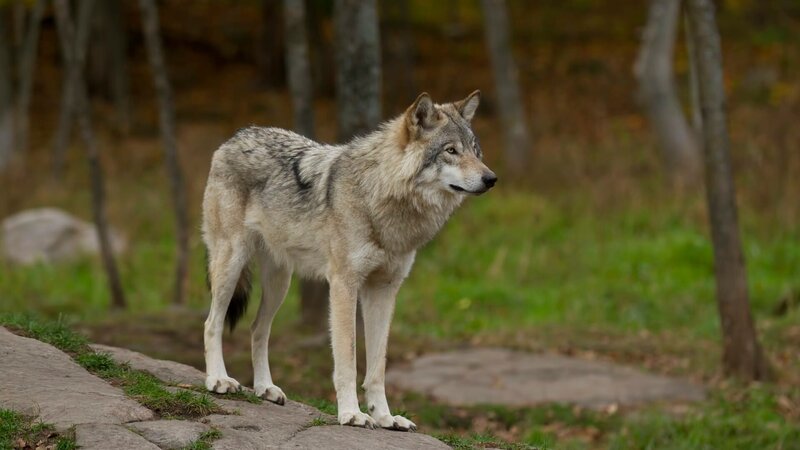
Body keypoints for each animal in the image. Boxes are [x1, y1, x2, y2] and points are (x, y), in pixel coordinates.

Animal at [202, 91, 497, 431]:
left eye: (475, 151)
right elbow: (348, 359)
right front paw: (352, 413)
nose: (491, 178)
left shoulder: (384, 290)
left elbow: (378, 366)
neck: (380, 198)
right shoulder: (344, 285)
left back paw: (265, 388)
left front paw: (385, 417)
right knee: (212, 322)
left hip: (279, 284)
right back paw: (218, 380)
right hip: (231, 263)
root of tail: (236, 136)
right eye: (451, 151)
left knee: (257, 329)